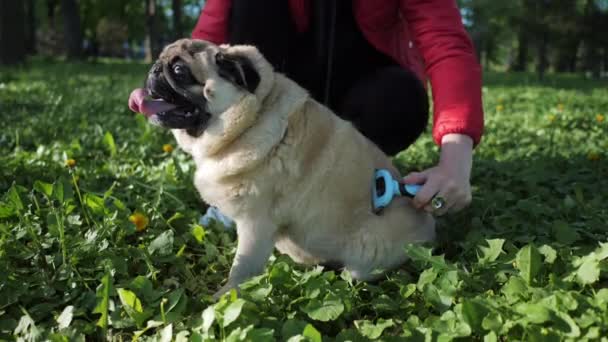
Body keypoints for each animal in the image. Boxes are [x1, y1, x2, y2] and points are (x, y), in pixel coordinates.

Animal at [128, 39, 434, 296]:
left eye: (179, 70)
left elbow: (241, 268)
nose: (154, 69)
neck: (248, 122)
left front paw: (223, 298)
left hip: (368, 250)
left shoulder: (255, 224)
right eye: (161, 61)